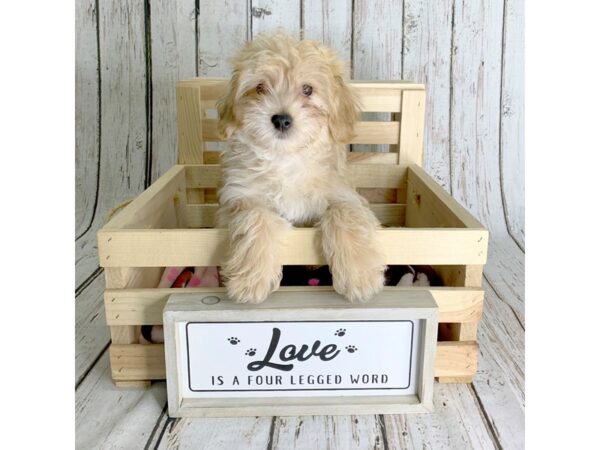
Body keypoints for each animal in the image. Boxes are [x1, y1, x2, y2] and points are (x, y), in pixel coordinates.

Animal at [216, 33, 384, 304]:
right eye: (260, 88)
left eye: (308, 90)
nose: (281, 119)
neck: (286, 160)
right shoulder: (240, 195)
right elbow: (256, 216)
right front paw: (250, 281)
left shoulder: (344, 194)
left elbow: (344, 213)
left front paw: (360, 277)